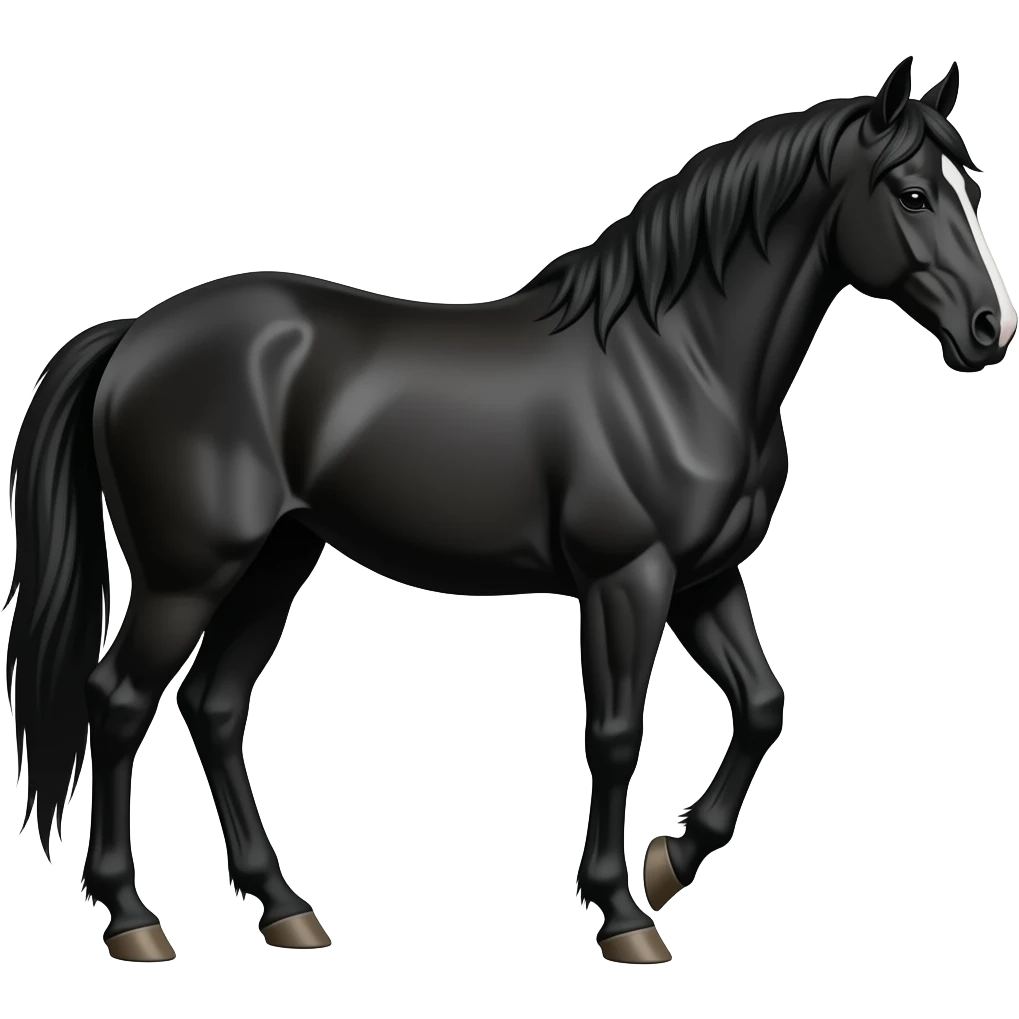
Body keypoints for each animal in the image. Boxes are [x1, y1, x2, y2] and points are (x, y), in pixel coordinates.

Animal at [5, 55, 1015, 965]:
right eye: (912, 194)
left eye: (971, 186)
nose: (988, 332)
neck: (676, 360)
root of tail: (135, 334)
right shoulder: (626, 580)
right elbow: (614, 735)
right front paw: (623, 915)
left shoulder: (704, 578)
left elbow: (762, 706)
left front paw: (669, 862)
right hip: (188, 574)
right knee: (119, 701)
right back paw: (133, 920)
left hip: (274, 561)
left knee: (213, 706)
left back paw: (286, 909)